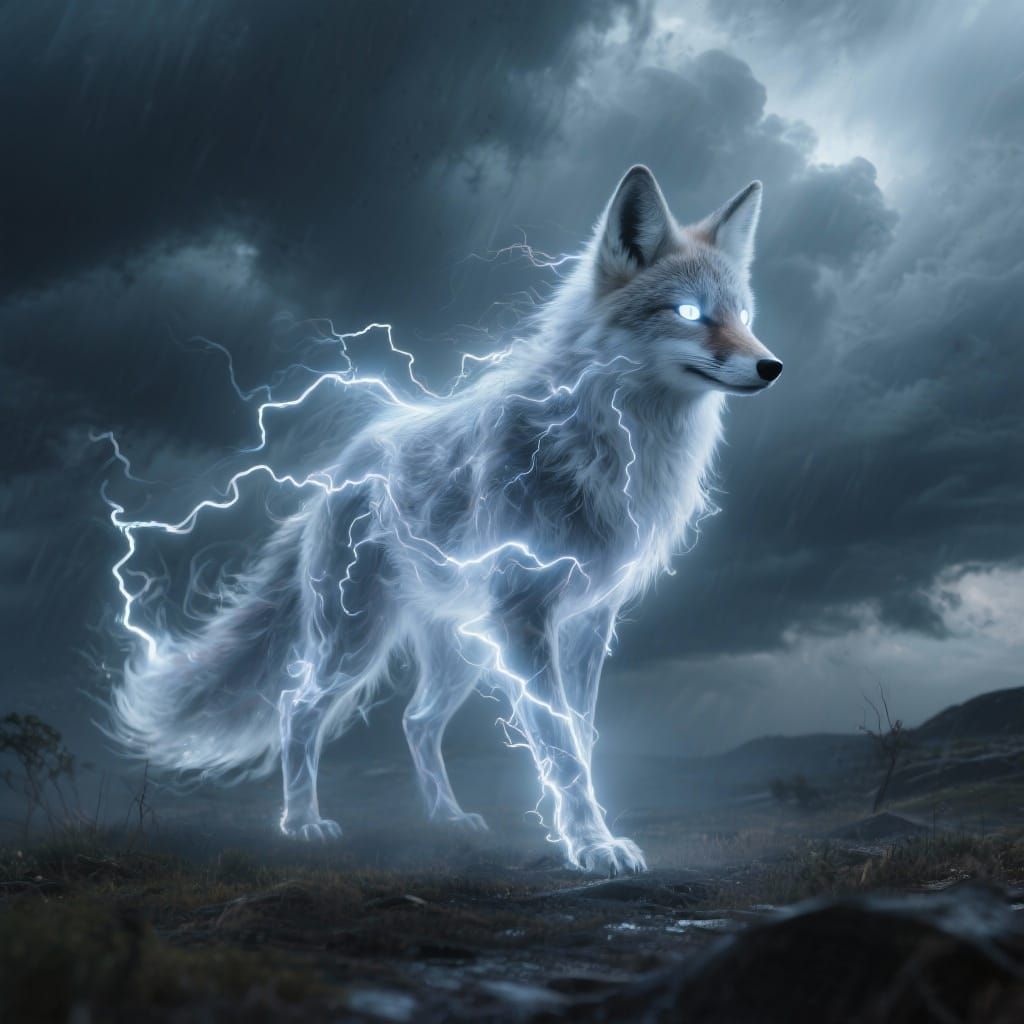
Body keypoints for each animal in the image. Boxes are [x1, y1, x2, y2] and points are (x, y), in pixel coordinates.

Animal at [110, 166, 782, 875]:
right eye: (690, 313)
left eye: (742, 316)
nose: (772, 367)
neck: (613, 448)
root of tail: (337, 473)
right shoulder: (525, 614)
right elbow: (560, 746)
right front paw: (591, 845)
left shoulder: (589, 620)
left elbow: (582, 735)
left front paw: (589, 835)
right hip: (356, 638)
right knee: (299, 710)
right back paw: (302, 824)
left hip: (460, 650)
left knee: (416, 720)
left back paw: (446, 820)